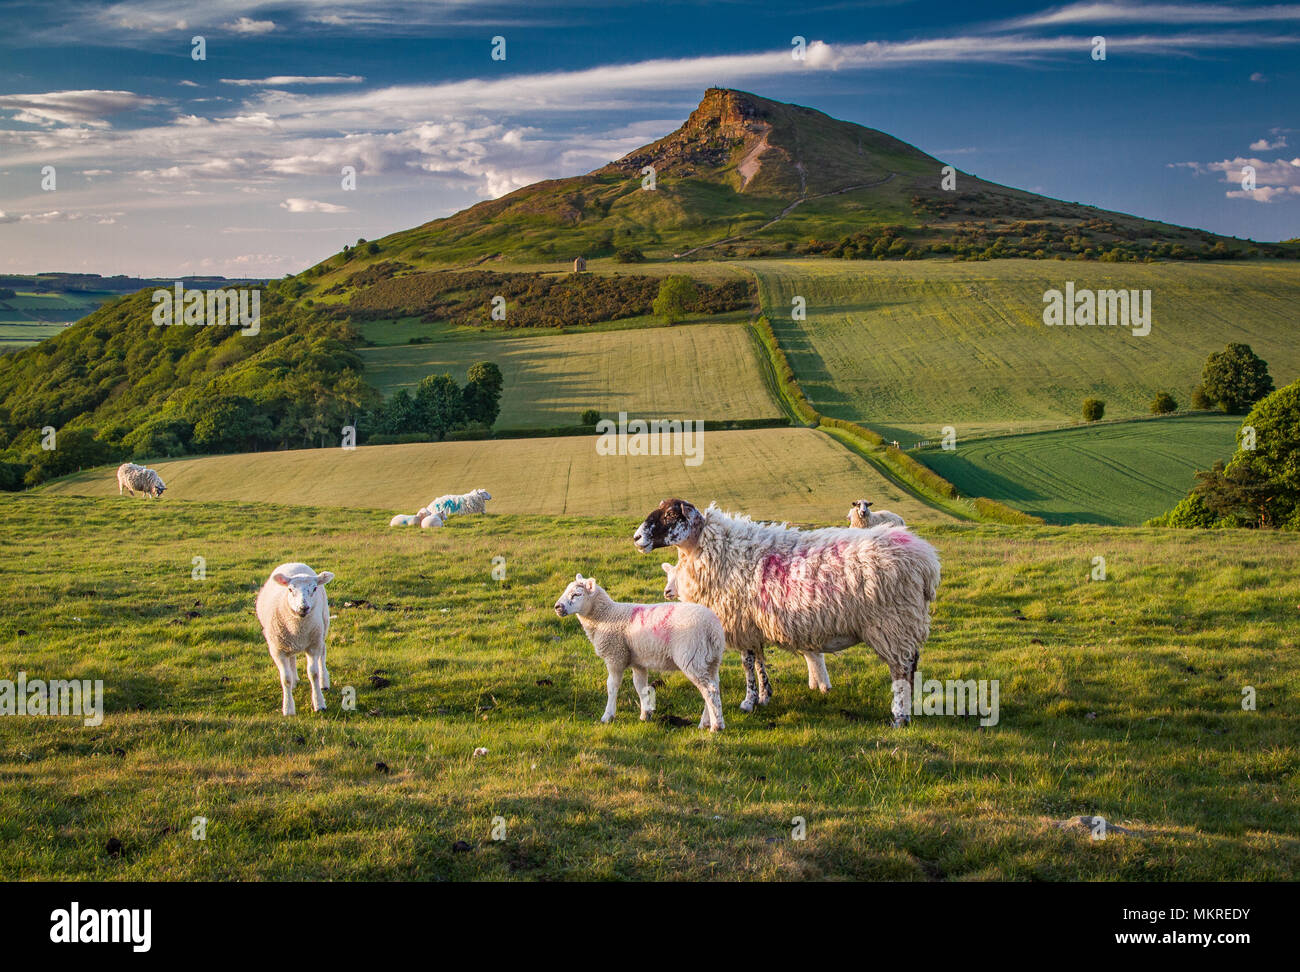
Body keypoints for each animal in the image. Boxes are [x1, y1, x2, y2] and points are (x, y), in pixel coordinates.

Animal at [254, 561, 335, 712]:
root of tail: (294, 563)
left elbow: (313, 674)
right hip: (287, 642)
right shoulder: (278, 650)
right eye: (290, 589)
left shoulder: (313, 645)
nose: (303, 608)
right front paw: (288, 708)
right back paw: (294, 681)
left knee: (322, 654)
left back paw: (324, 682)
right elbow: (285, 678)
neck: (298, 629)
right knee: (292, 657)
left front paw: (319, 703)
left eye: (314, 588)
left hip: (322, 628)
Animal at [553, 569, 728, 727]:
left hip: (692, 657)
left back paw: (716, 726)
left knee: (709, 690)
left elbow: (612, 686)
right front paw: (646, 714)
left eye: (577, 594)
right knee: (714, 687)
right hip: (711, 659)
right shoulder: (638, 662)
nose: (557, 607)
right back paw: (706, 722)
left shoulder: (615, 656)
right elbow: (640, 686)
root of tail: (713, 628)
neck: (605, 617)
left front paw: (607, 716)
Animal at [634, 496, 941, 727]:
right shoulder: (754, 624)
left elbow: (747, 663)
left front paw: (748, 702)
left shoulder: (742, 622)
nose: (637, 537)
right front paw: (764, 696)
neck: (715, 549)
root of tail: (926, 561)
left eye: (671, 514)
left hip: (893, 623)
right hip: (901, 623)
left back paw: (900, 716)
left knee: (901, 669)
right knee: (910, 666)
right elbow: (760, 662)